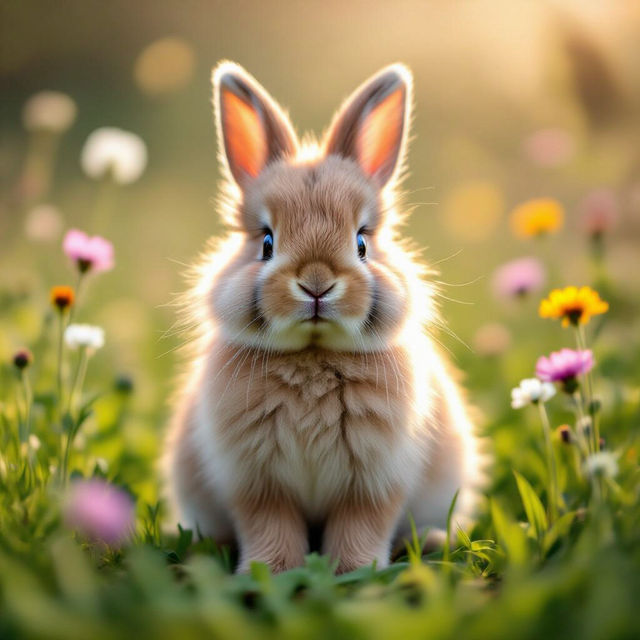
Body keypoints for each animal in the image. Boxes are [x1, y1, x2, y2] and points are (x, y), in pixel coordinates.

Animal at [163, 61, 483, 574]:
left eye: (362, 242)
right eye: (266, 242)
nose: (316, 283)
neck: (313, 356)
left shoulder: (373, 484)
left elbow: (360, 529)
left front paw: (354, 572)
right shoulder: (257, 486)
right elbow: (270, 528)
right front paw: (270, 572)